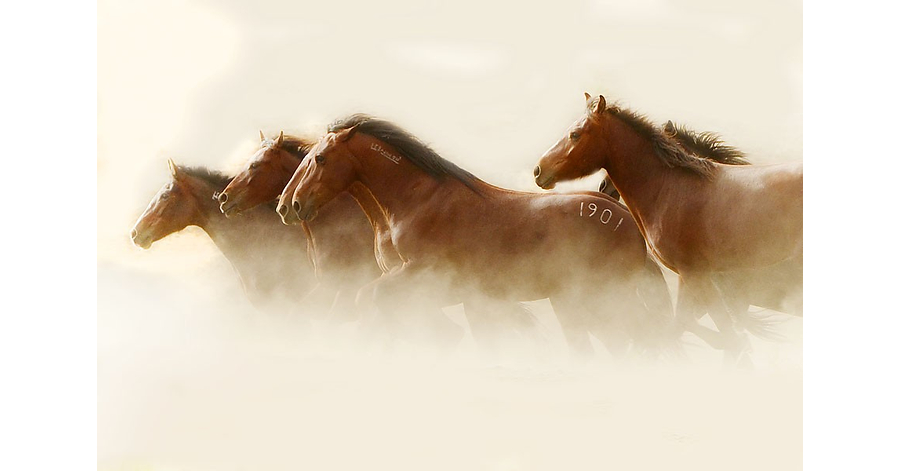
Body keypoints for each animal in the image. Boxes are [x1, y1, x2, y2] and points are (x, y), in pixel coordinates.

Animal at [278, 114, 681, 361]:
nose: (291, 205)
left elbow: (370, 300)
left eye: (321, 158)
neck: (414, 201)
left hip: (596, 300)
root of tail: (630, 226)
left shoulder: (420, 275)